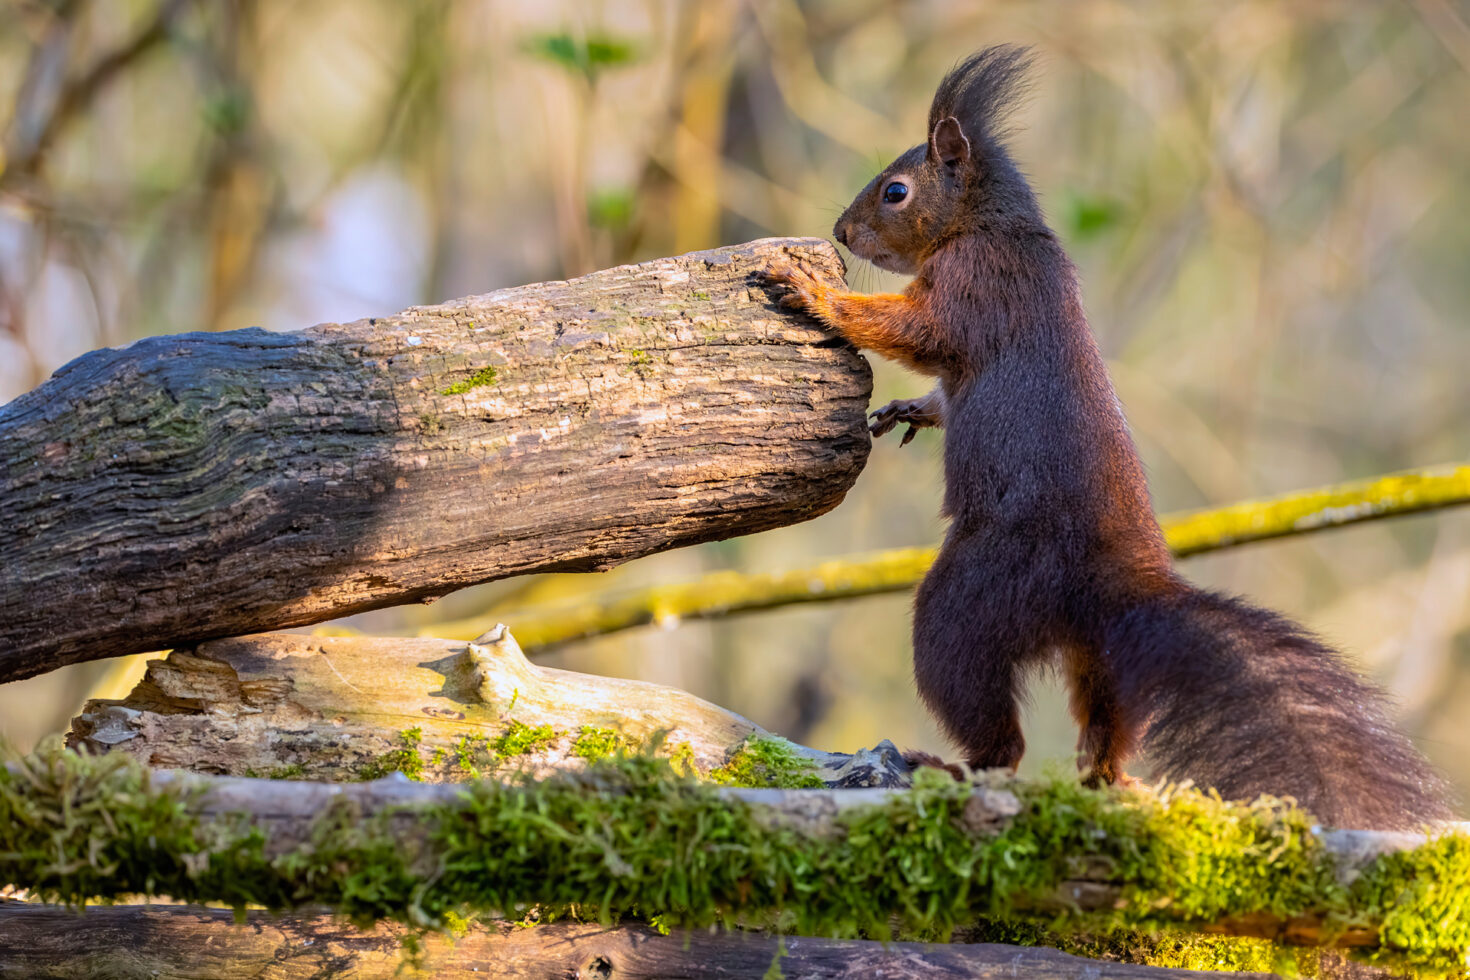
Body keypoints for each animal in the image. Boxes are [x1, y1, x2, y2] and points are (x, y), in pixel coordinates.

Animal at [764, 46, 1453, 830]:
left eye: (896, 191)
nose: (842, 232)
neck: (988, 227)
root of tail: (1104, 590)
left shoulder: (976, 285)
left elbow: (912, 328)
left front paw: (815, 293)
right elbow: (938, 384)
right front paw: (911, 409)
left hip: (969, 604)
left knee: (997, 734)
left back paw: (953, 767)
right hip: (1101, 659)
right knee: (1104, 724)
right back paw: (1108, 780)